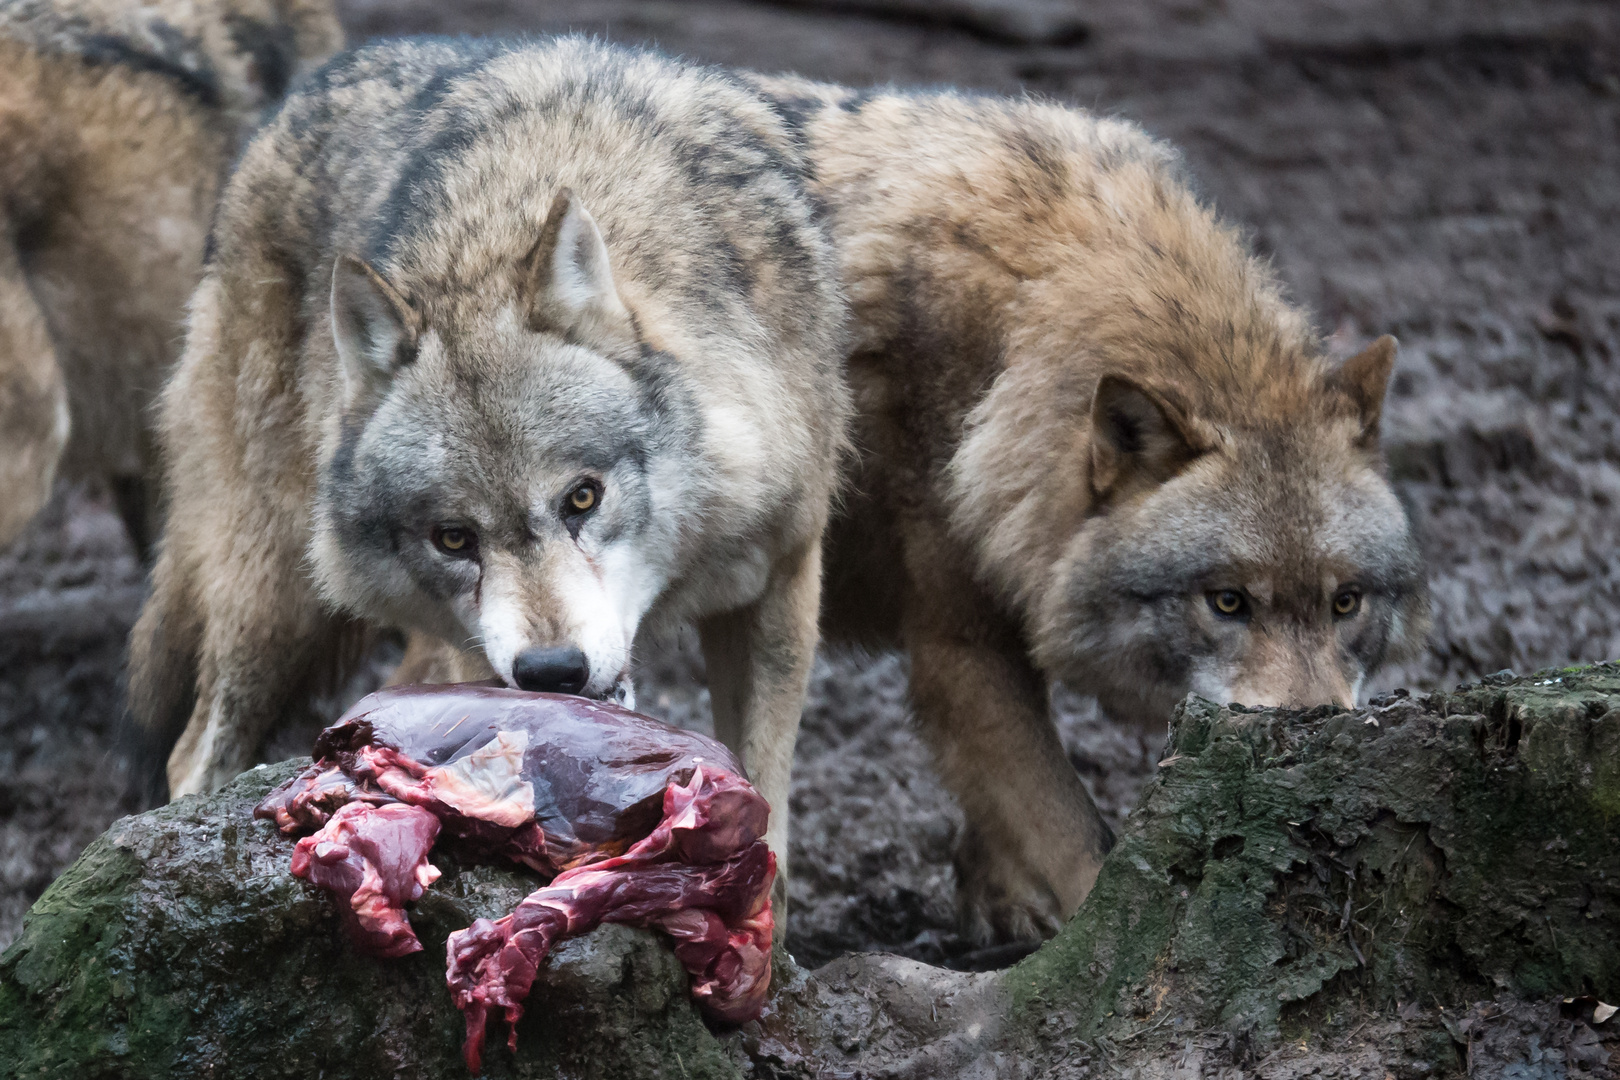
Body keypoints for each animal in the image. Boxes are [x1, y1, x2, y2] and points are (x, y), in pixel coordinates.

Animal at [127, 40, 855, 893]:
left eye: (582, 499)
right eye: (453, 539)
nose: (552, 672)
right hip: (274, 596)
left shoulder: (780, 583)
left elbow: (770, 828)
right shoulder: (475, 657)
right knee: (192, 753)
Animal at [741, 78, 1432, 945]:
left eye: (1346, 603)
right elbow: (1081, 844)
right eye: (1227, 602)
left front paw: (996, 907)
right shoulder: (959, 647)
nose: (1309, 739)